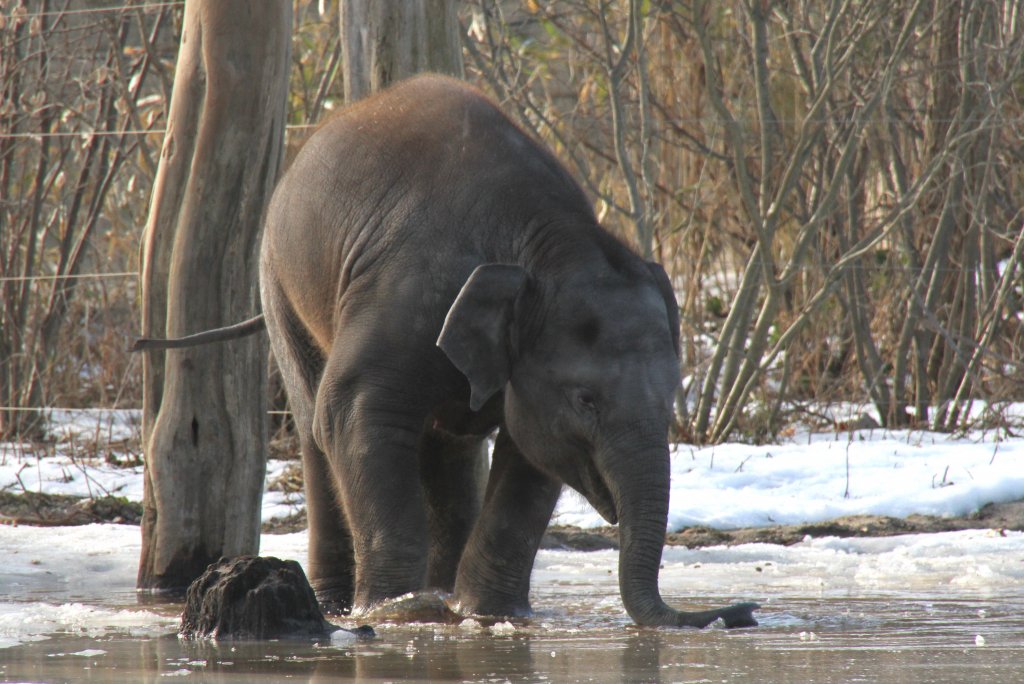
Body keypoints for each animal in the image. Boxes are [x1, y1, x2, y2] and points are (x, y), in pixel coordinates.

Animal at [144, 76, 757, 630]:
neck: (543, 241)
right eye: (586, 399)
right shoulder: (410, 290)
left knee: (448, 448)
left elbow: (531, 456)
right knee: (317, 426)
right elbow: (354, 413)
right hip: (278, 284)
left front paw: (493, 616)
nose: (741, 612)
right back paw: (342, 605)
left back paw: (440, 594)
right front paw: (400, 611)